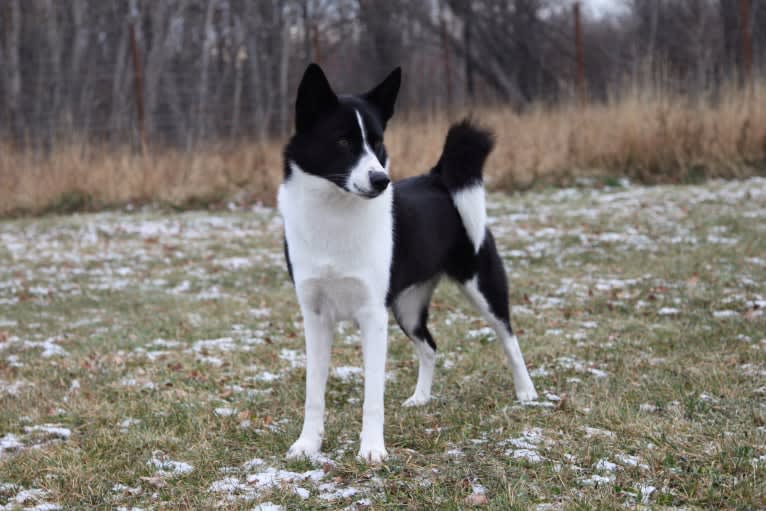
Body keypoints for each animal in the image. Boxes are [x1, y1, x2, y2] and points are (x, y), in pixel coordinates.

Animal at [280, 64, 536, 464]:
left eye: (377, 142)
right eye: (342, 141)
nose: (381, 180)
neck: (335, 212)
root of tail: (437, 177)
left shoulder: (372, 316)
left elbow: (372, 395)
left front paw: (371, 449)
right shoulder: (315, 316)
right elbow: (313, 393)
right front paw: (308, 445)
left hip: (482, 286)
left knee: (508, 337)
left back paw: (526, 392)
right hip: (407, 307)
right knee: (429, 346)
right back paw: (421, 398)